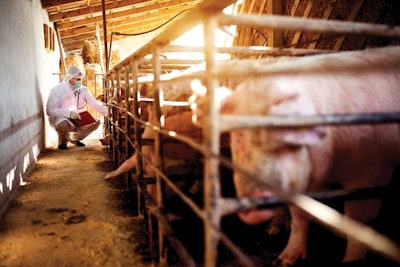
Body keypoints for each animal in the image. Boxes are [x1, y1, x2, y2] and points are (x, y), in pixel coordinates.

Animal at [196, 47, 400, 266]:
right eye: (239, 138)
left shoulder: (372, 172)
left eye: (285, 140)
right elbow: (299, 217)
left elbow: (358, 224)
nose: (256, 201)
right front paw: (284, 260)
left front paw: (350, 261)